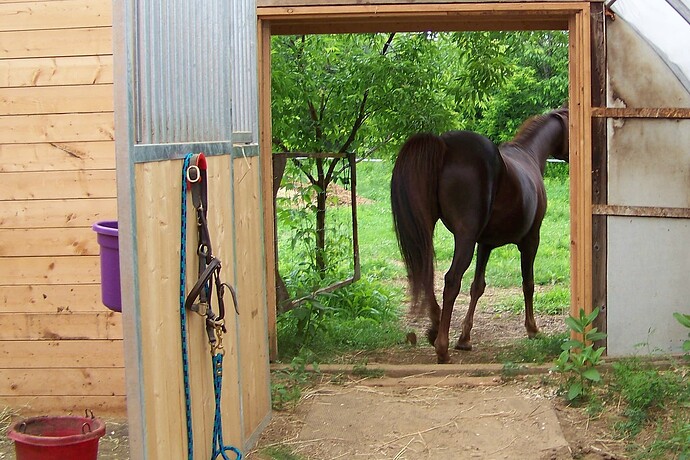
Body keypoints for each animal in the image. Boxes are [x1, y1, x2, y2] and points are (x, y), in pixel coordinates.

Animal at [390, 108, 568, 362]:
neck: (528, 155)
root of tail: (444, 145)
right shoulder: (530, 240)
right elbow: (528, 283)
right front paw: (532, 329)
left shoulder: (485, 244)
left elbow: (477, 286)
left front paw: (464, 338)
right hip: (465, 238)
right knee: (451, 280)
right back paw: (442, 347)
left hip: (428, 229)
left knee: (426, 274)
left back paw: (434, 328)